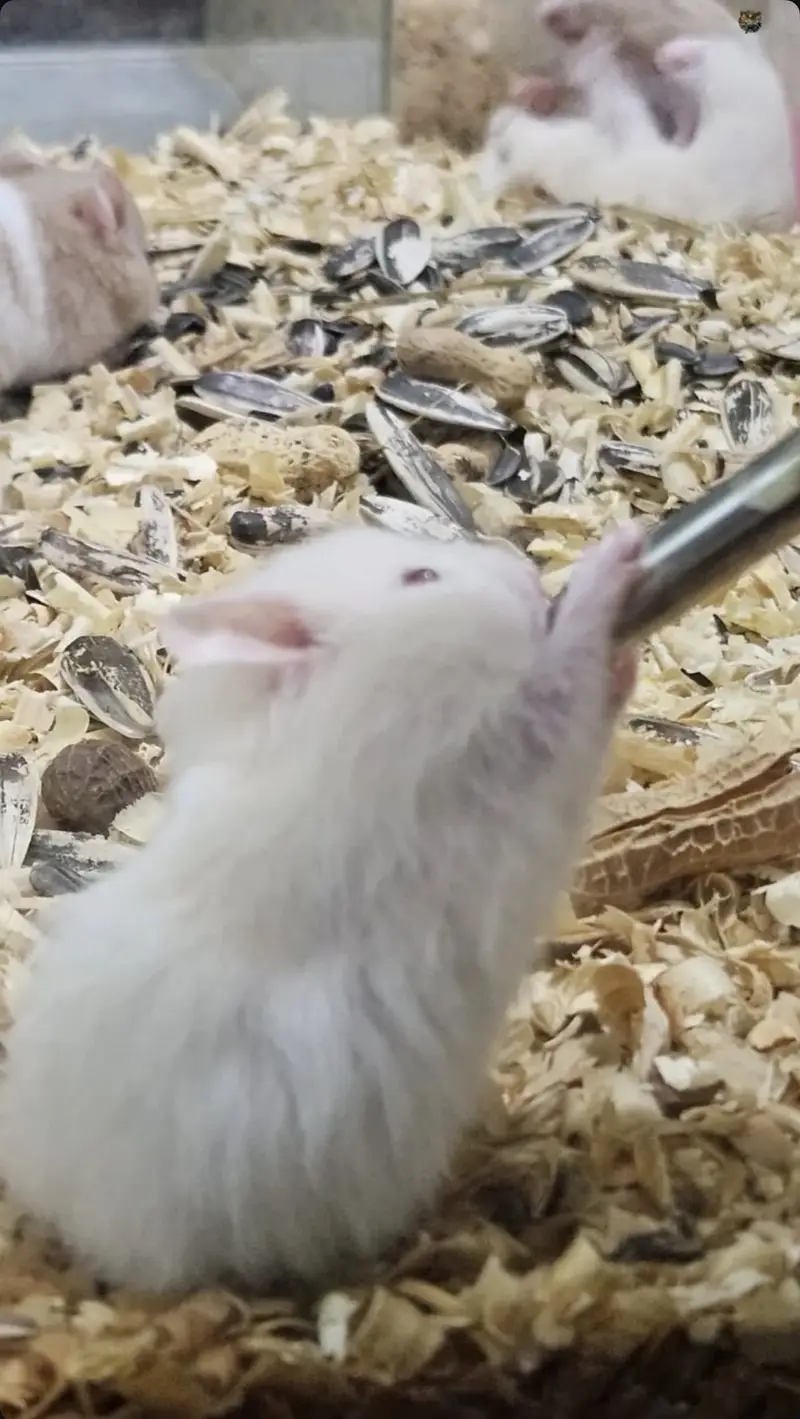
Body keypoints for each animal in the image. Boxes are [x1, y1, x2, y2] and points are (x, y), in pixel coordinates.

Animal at [0, 522, 642, 1294]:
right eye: (421, 576)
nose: (524, 572)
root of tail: (75, 1229)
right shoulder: (508, 760)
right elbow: (569, 683)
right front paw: (616, 558)